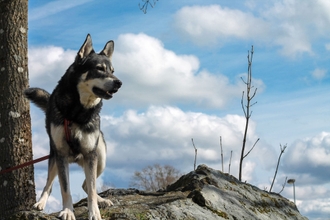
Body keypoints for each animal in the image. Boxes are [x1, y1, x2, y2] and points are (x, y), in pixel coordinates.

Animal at [25, 33, 122, 219]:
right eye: (99, 69)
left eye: (112, 71)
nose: (119, 83)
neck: (77, 111)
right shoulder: (61, 154)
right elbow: (65, 189)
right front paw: (68, 211)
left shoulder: (91, 154)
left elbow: (91, 188)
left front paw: (94, 212)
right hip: (54, 157)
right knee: (49, 184)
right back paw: (41, 202)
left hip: (101, 158)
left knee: (87, 185)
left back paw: (101, 200)